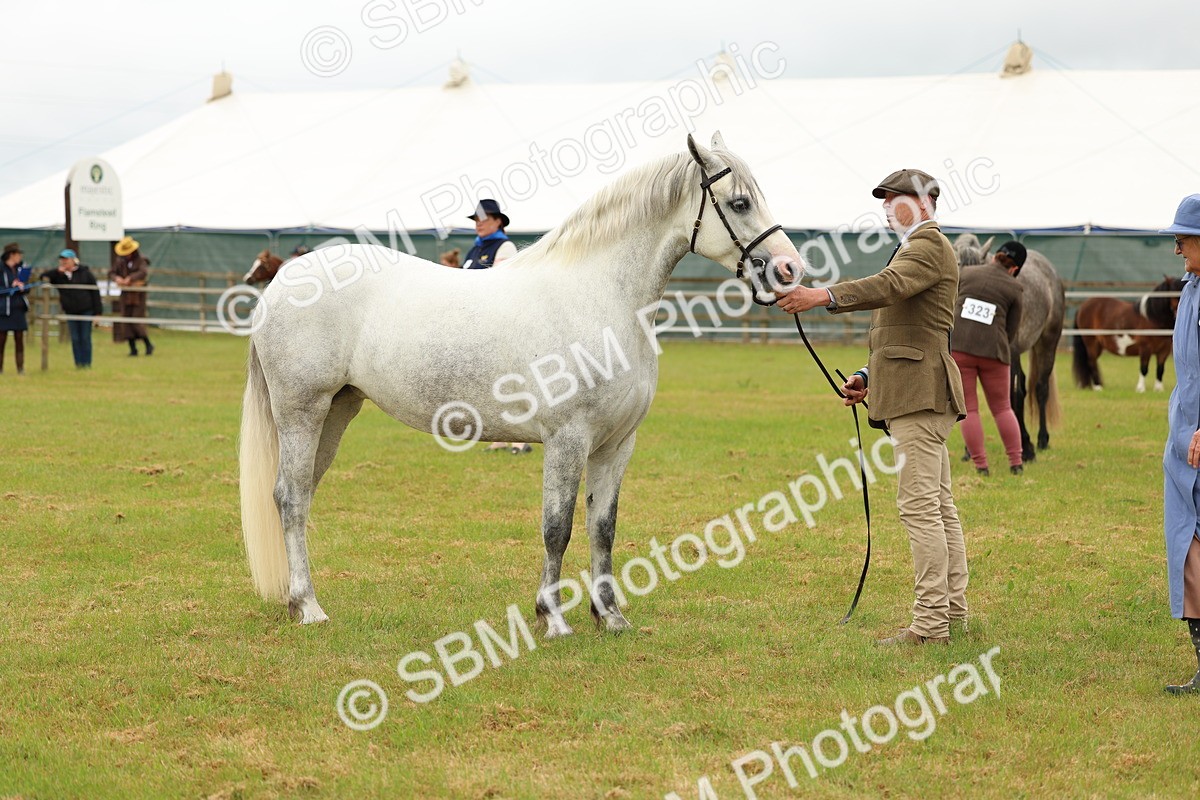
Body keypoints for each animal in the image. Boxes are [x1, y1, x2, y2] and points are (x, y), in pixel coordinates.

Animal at [238, 133, 803, 630]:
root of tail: (284, 282)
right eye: (740, 202)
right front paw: (551, 617)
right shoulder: (567, 438)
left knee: (301, 495)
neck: (599, 297)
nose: (789, 269)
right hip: (302, 411)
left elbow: (603, 528)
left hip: (337, 411)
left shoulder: (617, 444)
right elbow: (558, 528)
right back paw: (308, 607)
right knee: (290, 497)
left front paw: (610, 616)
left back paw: (297, 600)